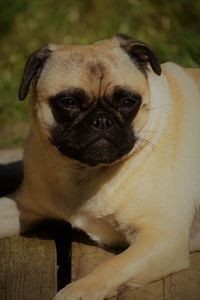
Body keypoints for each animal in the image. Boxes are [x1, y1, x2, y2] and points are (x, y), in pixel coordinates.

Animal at [0, 34, 200, 298]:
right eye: (69, 102)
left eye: (128, 101)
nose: (102, 120)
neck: (85, 173)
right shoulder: (24, 206)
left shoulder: (161, 236)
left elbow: (114, 265)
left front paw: (79, 289)